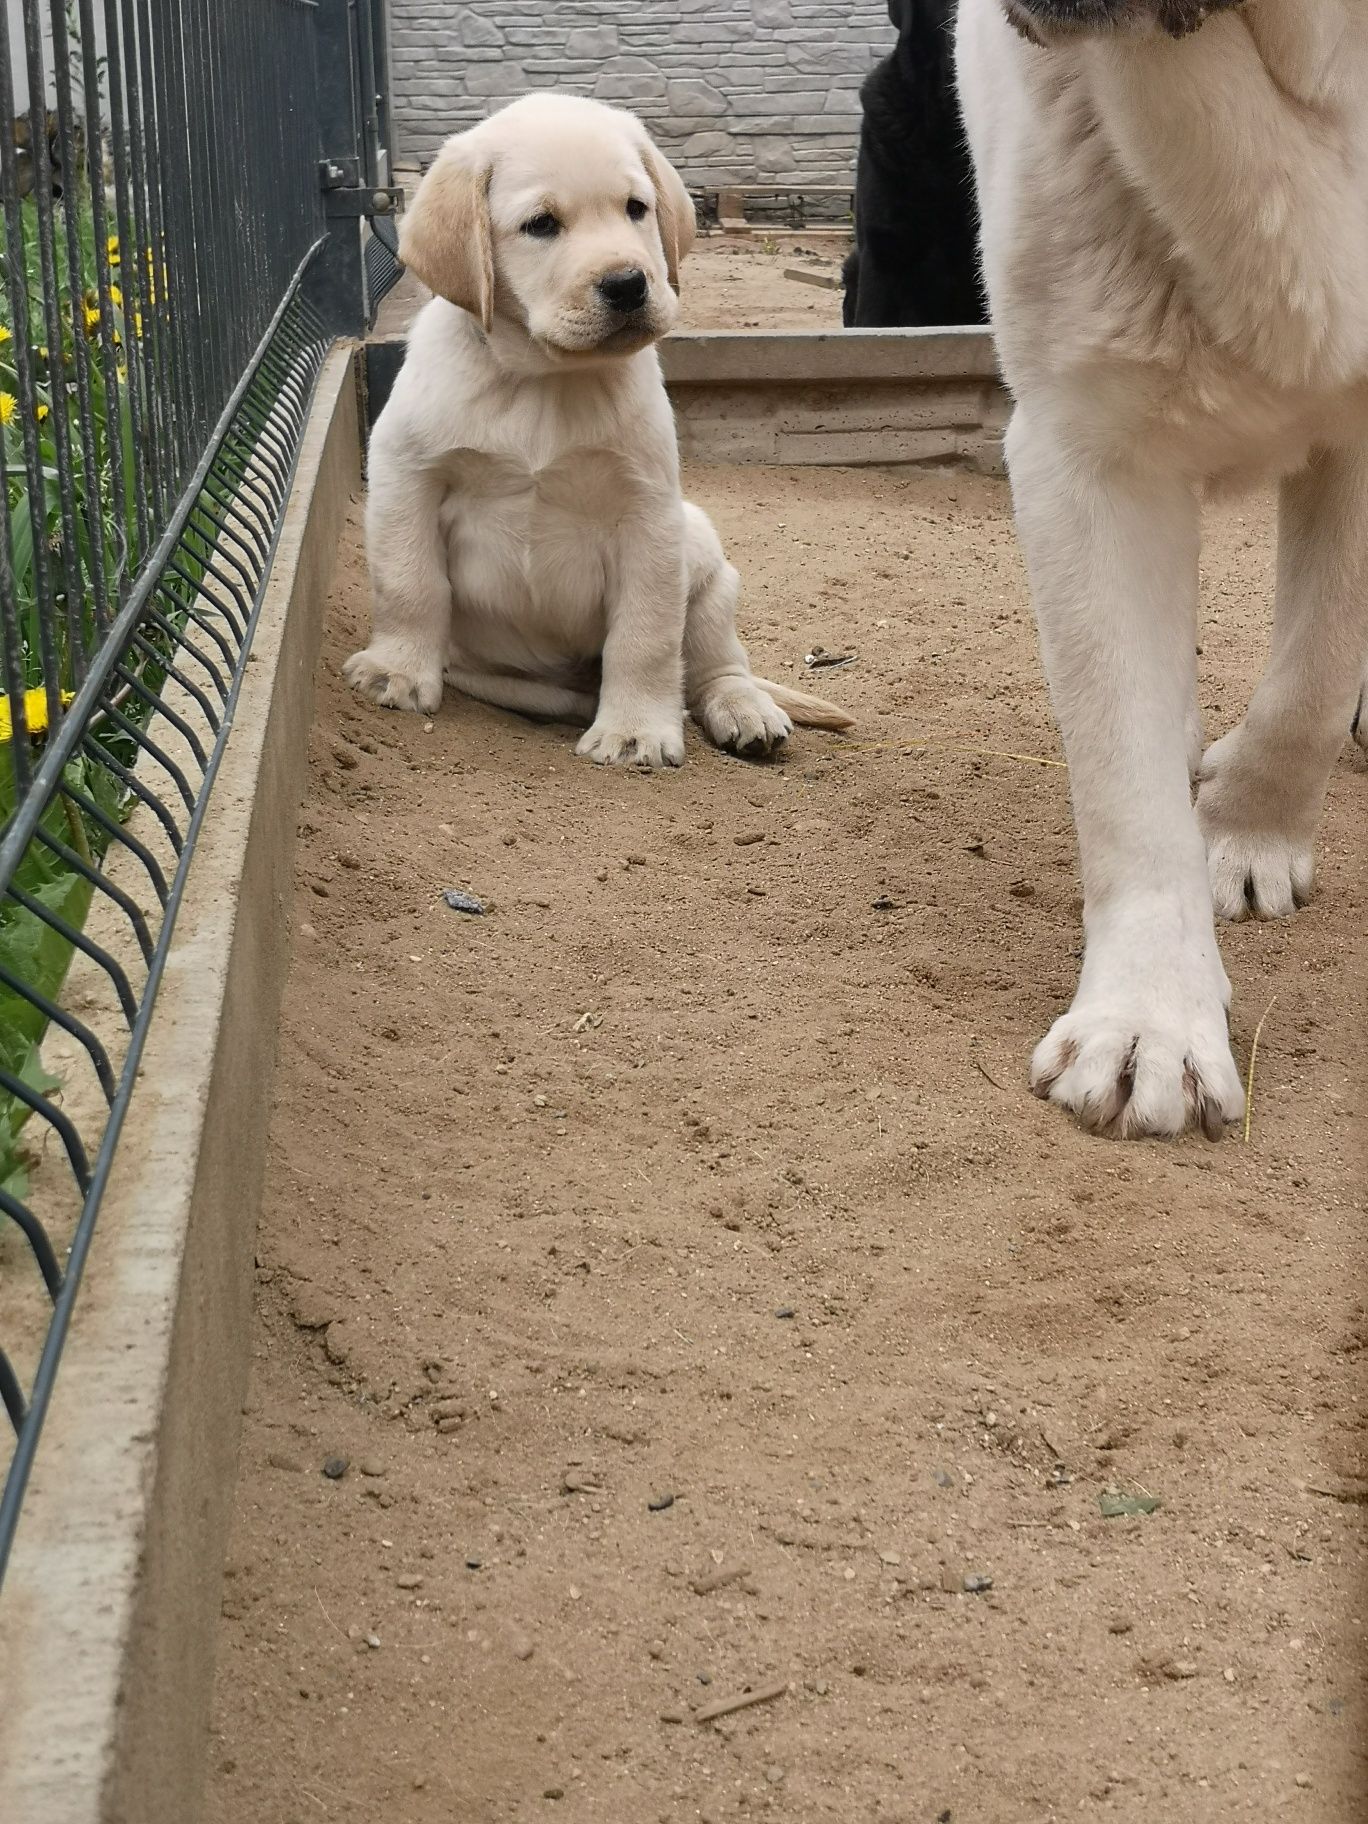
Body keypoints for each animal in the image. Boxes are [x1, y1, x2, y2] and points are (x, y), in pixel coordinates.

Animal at [348, 94, 853, 762]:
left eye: (636, 208)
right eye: (540, 224)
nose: (628, 284)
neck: (545, 378)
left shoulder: (647, 514)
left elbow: (646, 636)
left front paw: (637, 730)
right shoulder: (407, 475)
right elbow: (409, 583)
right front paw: (397, 670)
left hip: (703, 553)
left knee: (714, 664)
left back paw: (742, 709)